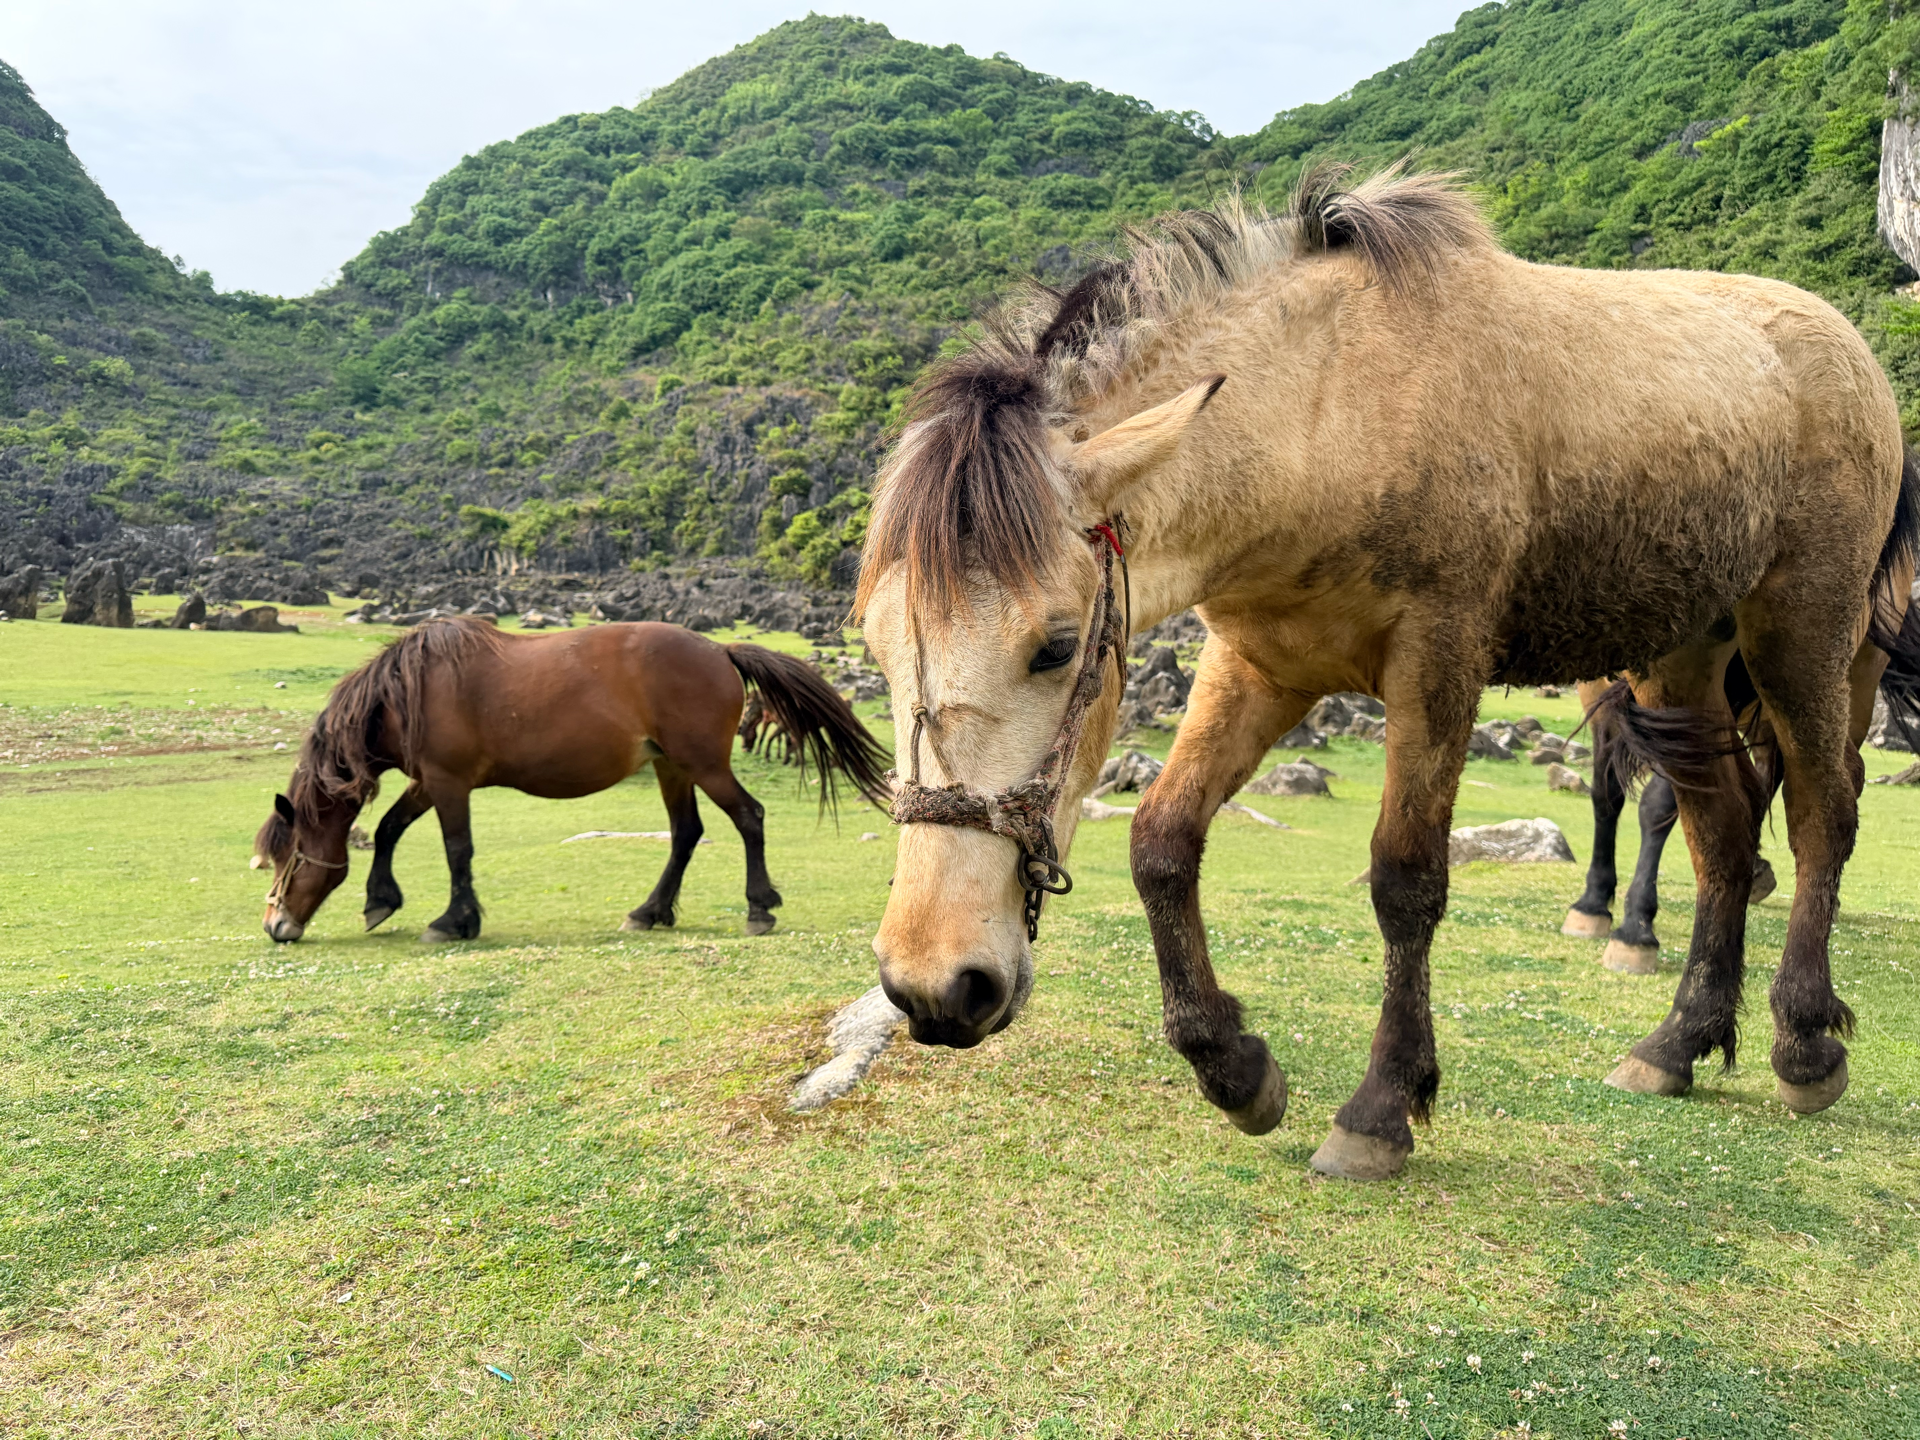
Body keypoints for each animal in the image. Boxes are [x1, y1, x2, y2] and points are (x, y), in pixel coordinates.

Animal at [252, 618, 889, 944]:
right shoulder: (429, 782)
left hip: (704, 763)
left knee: (747, 817)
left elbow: (456, 849)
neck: (410, 692)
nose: (275, 926)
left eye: (287, 858)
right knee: (686, 834)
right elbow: (387, 830)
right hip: (671, 766)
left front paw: (454, 921)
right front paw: (381, 901)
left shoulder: (449, 783)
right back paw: (649, 912)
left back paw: (759, 909)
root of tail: (718, 649)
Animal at [853, 162, 1918, 1181]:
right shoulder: (1257, 664)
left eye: (1057, 645)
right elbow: (1161, 842)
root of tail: (1848, 348)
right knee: (1724, 837)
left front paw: (1379, 1111)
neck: (1326, 408)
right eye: (876, 650)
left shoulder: (1436, 663)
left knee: (1822, 814)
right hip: (1678, 663)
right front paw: (1235, 1067)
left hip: (1804, 637)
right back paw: (1678, 1044)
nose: (936, 985)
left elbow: (1405, 879)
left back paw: (1804, 1044)